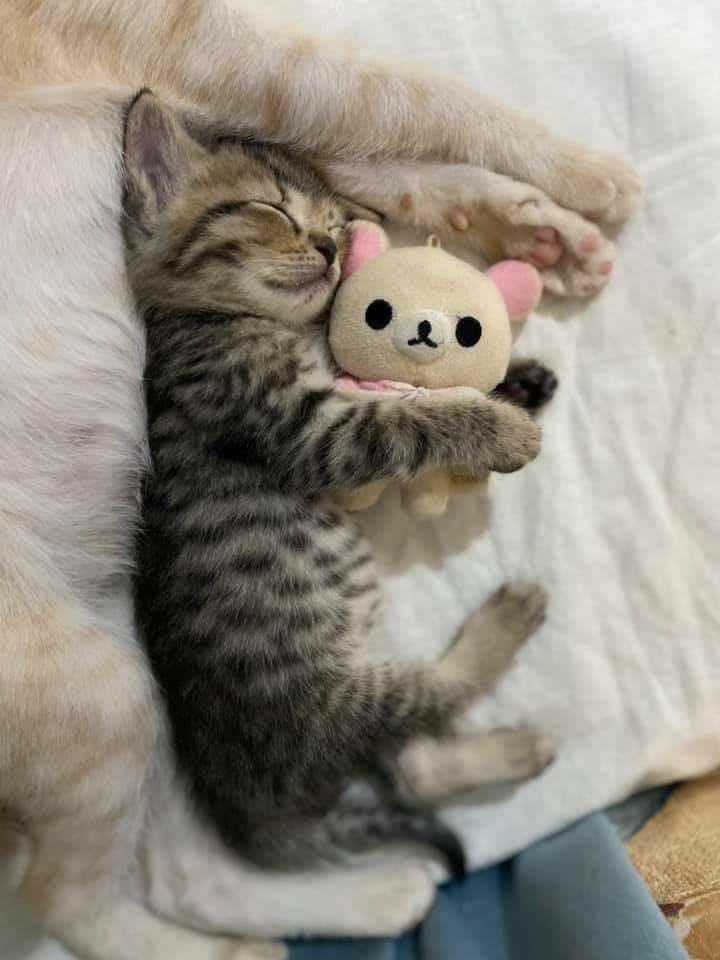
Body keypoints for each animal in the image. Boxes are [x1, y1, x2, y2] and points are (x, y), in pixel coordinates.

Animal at [124, 90, 550, 878]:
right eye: (272, 209)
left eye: (335, 227)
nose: (329, 249)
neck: (203, 319)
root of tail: (243, 810)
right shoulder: (306, 427)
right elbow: (409, 420)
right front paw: (502, 428)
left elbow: (415, 393)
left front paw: (522, 382)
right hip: (330, 703)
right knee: (426, 701)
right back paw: (503, 629)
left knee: (410, 767)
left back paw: (513, 747)